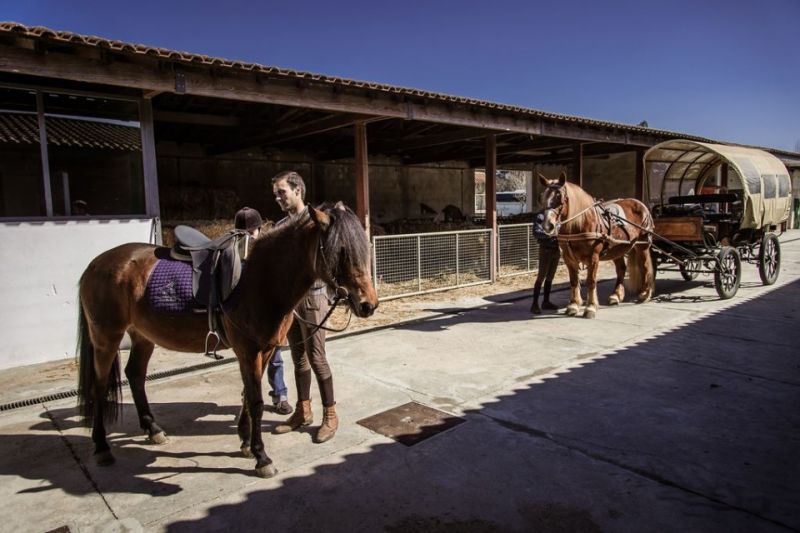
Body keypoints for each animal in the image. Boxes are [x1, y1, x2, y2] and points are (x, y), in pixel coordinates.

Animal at [76, 202, 376, 476]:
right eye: (341, 251)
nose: (368, 305)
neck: (261, 281)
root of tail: (95, 264)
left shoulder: (264, 350)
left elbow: (247, 395)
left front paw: (245, 442)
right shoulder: (248, 351)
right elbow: (255, 401)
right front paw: (261, 457)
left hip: (142, 336)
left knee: (135, 375)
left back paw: (153, 430)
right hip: (106, 338)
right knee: (99, 387)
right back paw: (102, 447)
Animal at [536, 172, 656, 318]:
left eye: (559, 196)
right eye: (541, 197)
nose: (548, 225)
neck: (580, 223)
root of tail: (640, 204)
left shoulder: (593, 257)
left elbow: (591, 281)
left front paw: (591, 307)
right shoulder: (568, 258)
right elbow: (574, 280)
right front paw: (574, 305)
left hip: (642, 246)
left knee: (645, 267)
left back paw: (645, 294)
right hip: (616, 248)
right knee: (621, 269)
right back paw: (616, 296)